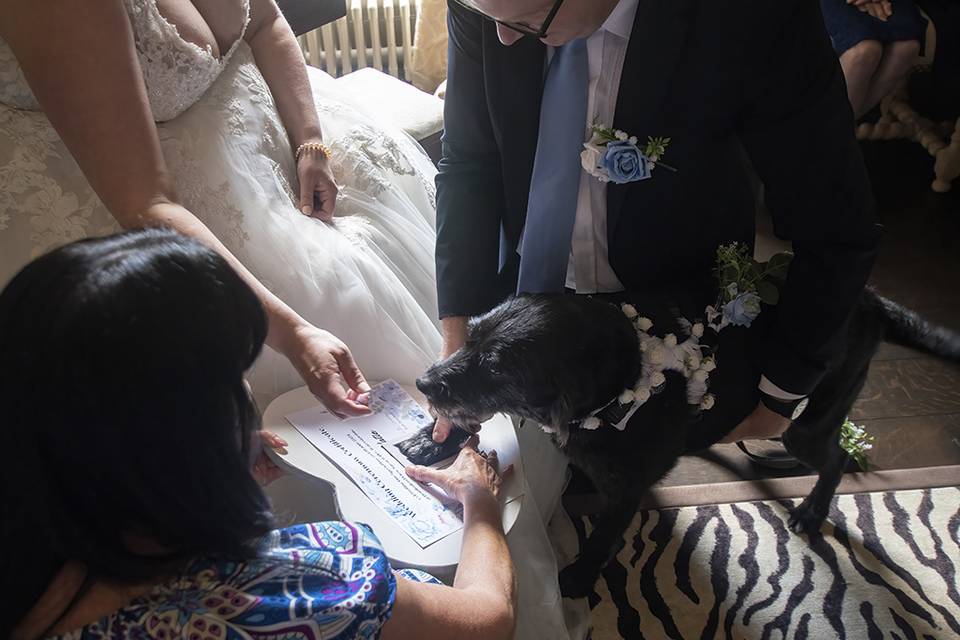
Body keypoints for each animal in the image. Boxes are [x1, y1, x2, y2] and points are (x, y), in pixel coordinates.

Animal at [410, 288, 960, 596]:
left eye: (498, 368)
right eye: (470, 336)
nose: (424, 382)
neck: (626, 381)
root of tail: (870, 299)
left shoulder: (625, 491)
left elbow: (604, 536)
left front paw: (581, 577)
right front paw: (433, 440)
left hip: (809, 419)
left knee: (838, 455)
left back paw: (812, 509)